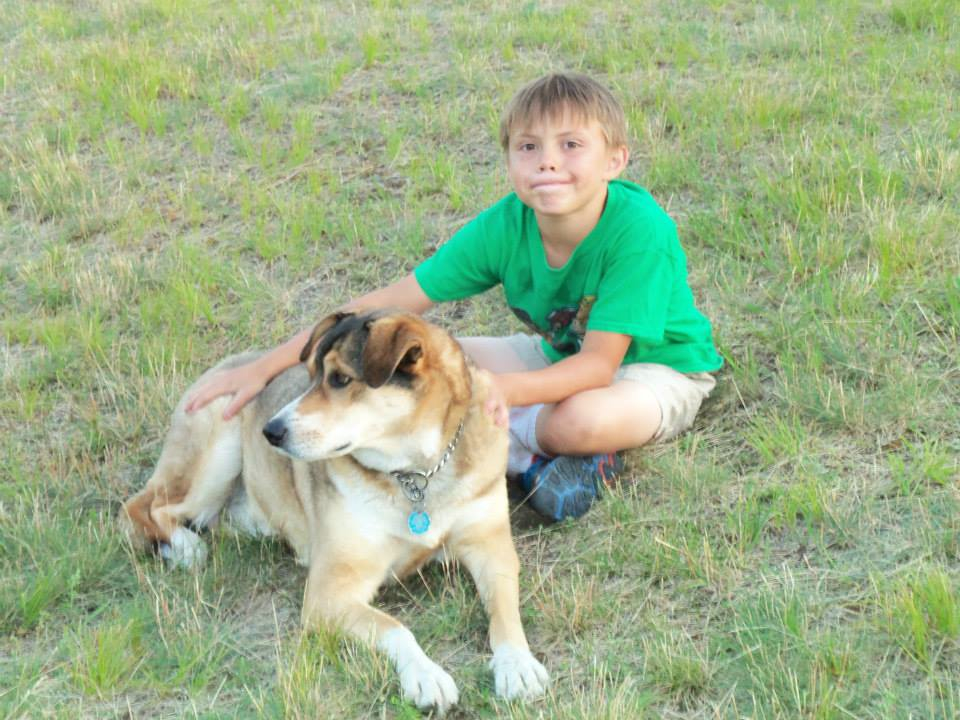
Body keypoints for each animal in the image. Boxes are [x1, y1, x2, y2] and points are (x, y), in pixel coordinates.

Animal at [121, 309, 549, 713]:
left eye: (341, 379)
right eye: (311, 377)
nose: (270, 432)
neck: (417, 473)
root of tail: (227, 364)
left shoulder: (492, 548)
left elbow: (505, 611)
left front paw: (517, 665)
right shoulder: (330, 593)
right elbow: (395, 627)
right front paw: (426, 676)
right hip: (213, 459)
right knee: (141, 509)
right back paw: (184, 547)